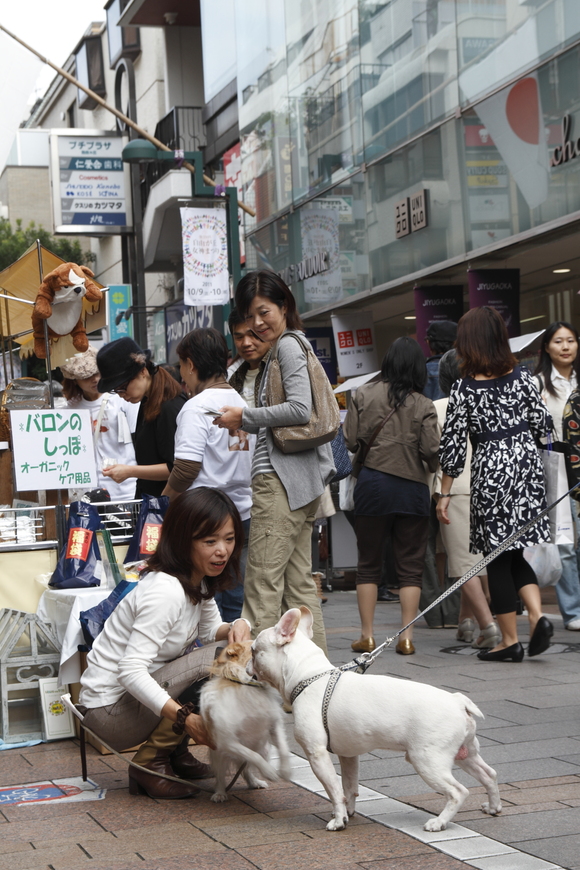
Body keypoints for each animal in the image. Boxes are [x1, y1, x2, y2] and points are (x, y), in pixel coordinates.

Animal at [201, 640, 292, 804]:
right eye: (254, 649)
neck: (248, 685)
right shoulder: (227, 741)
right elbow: (252, 755)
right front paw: (269, 772)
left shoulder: (274, 725)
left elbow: (283, 749)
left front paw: (285, 771)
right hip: (219, 755)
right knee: (221, 775)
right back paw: (220, 793)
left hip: (265, 749)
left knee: (246, 769)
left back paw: (254, 782)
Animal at [247, 608, 500, 836]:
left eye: (253, 650)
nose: (248, 665)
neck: (309, 676)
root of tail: (458, 701)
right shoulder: (349, 755)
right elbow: (348, 787)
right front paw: (347, 813)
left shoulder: (316, 754)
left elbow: (333, 789)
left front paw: (338, 820)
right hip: (464, 753)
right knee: (489, 774)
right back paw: (493, 807)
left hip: (427, 760)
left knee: (458, 792)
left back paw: (438, 823)